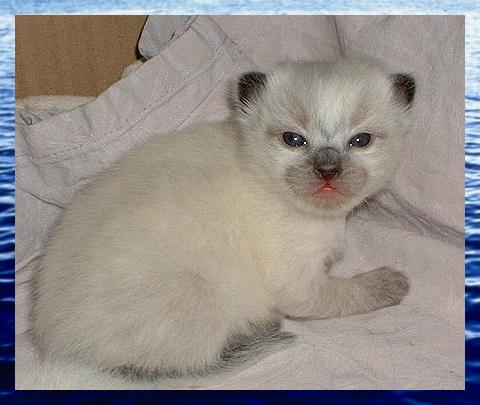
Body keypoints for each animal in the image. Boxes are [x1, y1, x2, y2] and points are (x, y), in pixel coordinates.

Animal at [33, 57, 415, 379]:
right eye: (294, 140)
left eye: (360, 141)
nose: (328, 171)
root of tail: (60, 350)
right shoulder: (297, 282)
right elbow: (345, 295)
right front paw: (393, 284)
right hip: (198, 295)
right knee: (186, 365)